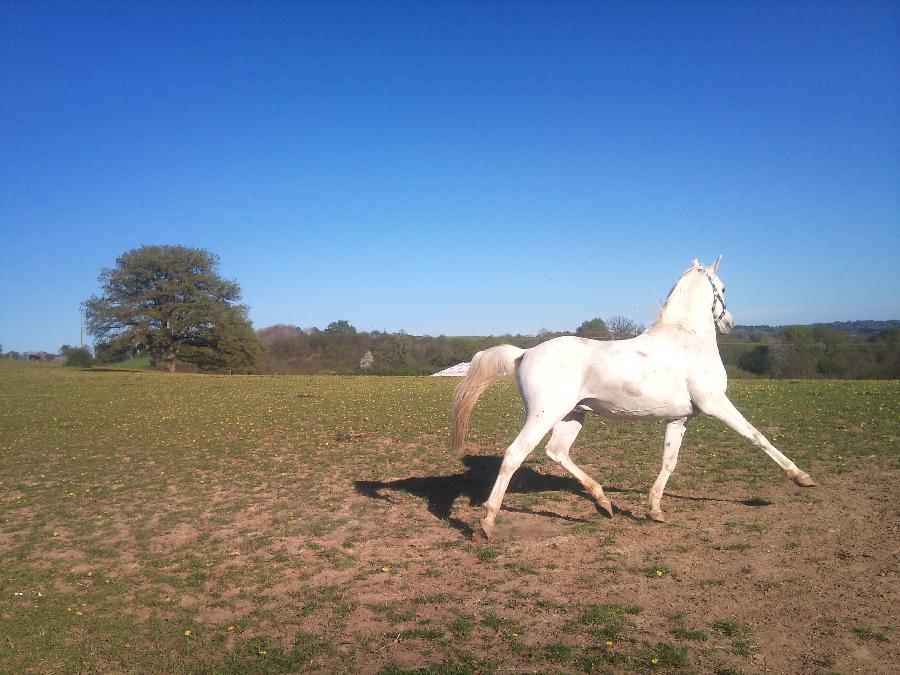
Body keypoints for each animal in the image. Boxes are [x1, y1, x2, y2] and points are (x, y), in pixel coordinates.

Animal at [454, 256, 812, 540]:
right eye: (723, 288)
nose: (729, 323)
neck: (688, 339)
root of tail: (524, 354)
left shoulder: (679, 419)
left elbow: (669, 461)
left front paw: (654, 510)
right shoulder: (716, 404)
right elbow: (756, 436)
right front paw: (801, 477)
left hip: (573, 415)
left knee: (557, 452)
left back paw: (604, 503)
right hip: (544, 415)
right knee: (514, 455)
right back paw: (487, 522)